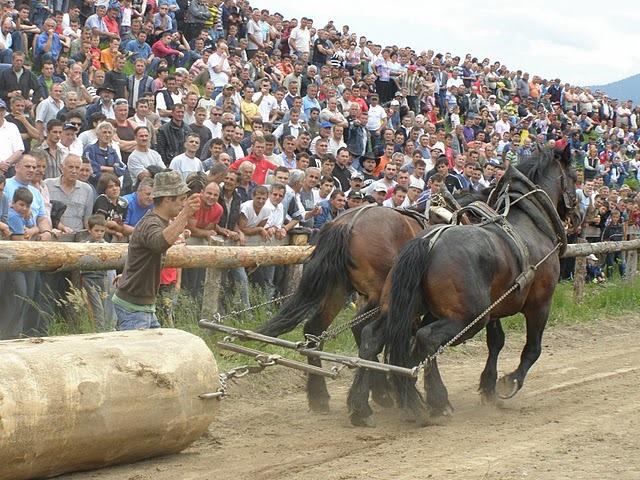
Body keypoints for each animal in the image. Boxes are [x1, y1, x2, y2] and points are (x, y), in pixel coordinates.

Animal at [348, 145, 576, 424]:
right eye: (575, 178)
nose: (578, 213)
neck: (530, 224)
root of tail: (428, 242)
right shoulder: (540, 304)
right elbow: (532, 349)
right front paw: (508, 382)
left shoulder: (494, 310)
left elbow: (496, 342)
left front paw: (488, 386)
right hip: (469, 317)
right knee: (426, 340)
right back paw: (437, 400)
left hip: (400, 308)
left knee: (373, 336)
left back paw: (364, 404)